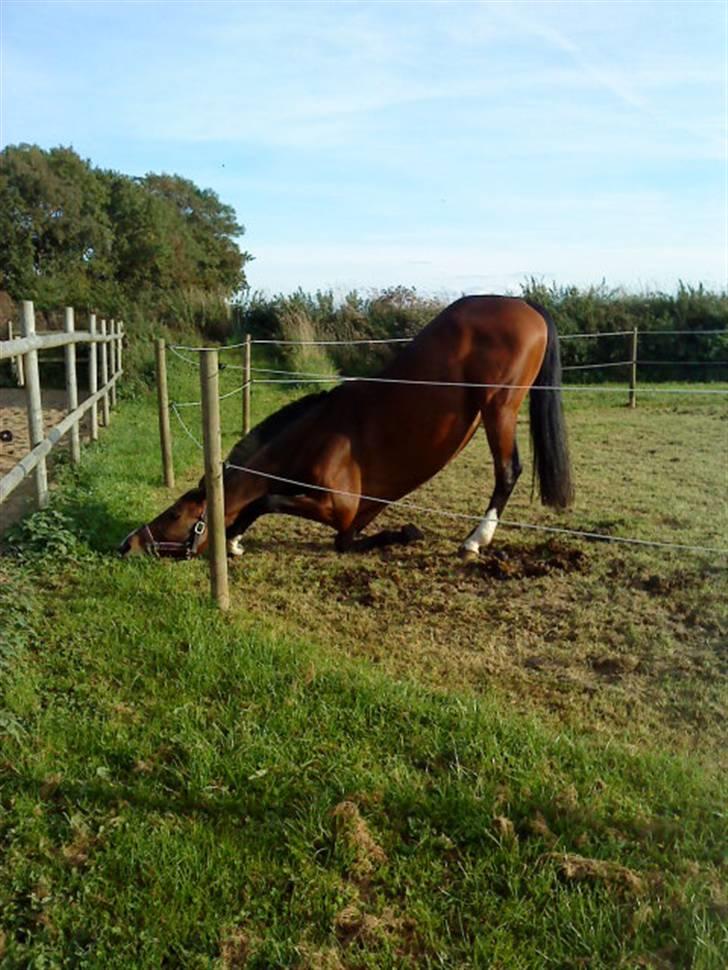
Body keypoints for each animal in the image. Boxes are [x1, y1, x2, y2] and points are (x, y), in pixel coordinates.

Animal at [119, 298, 576, 564]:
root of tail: (527, 305)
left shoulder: (337, 504)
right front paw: (402, 534)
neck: (315, 435)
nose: (128, 543)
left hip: (499, 408)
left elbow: (266, 499)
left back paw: (475, 540)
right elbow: (344, 540)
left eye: (175, 514)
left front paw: (231, 539)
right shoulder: (352, 520)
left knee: (508, 471)